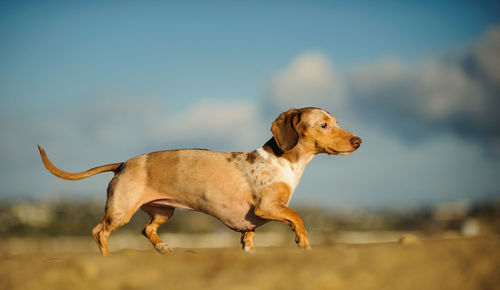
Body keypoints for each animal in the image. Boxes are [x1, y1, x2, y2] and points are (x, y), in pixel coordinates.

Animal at [38, 107, 360, 255]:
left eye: (337, 121)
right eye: (323, 124)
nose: (358, 141)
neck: (283, 162)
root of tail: (123, 163)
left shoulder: (253, 223)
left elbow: (249, 238)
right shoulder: (267, 207)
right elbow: (297, 216)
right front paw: (303, 240)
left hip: (163, 211)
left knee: (147, 229)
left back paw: (163, 247)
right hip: (120, 210)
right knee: (99, 231)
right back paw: (108, 256)